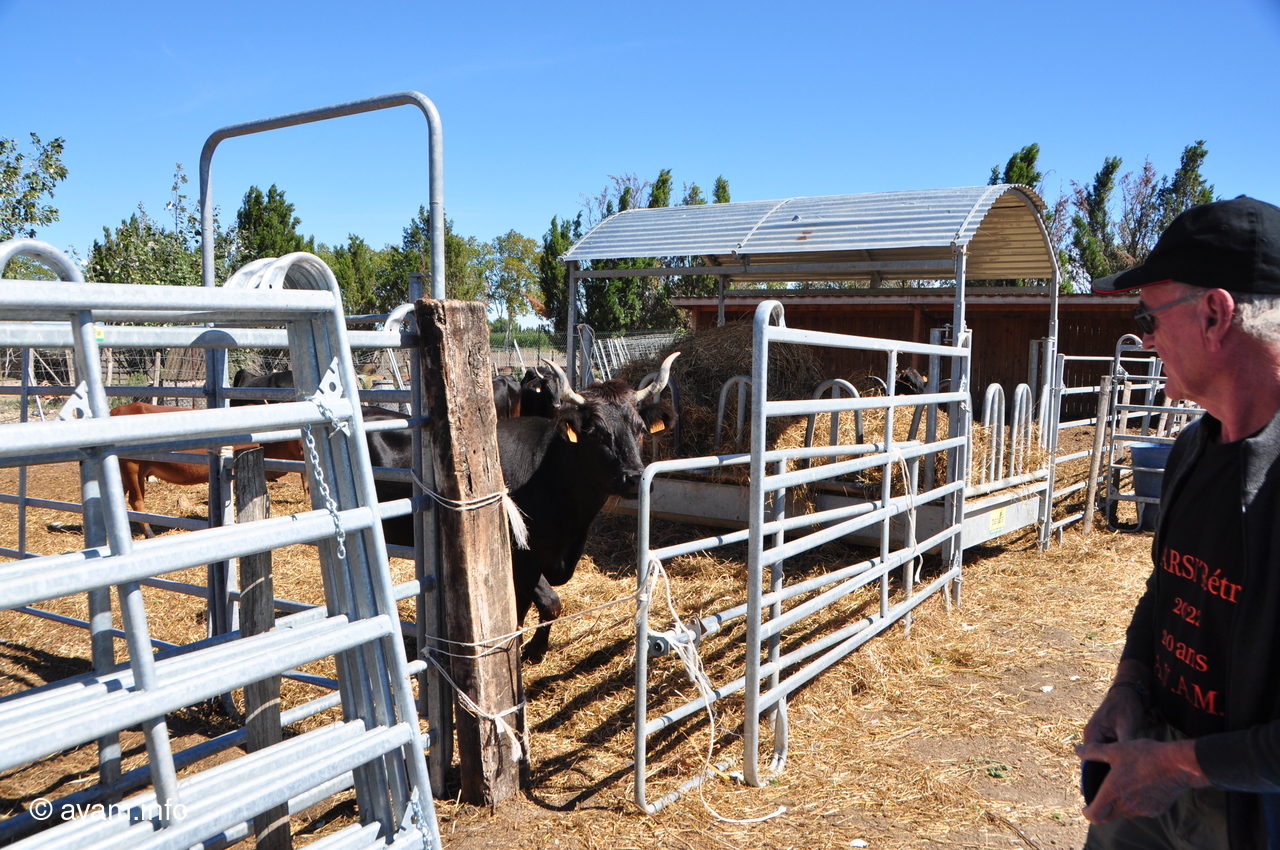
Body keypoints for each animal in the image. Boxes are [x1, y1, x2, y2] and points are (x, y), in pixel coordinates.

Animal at [371, 353, 679, 663]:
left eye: (640, 429)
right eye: (594, 430)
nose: (634, 478)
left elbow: (523, 611)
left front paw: (525, 649)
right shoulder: (519, 555)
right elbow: (548, 603)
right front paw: (533, 649)